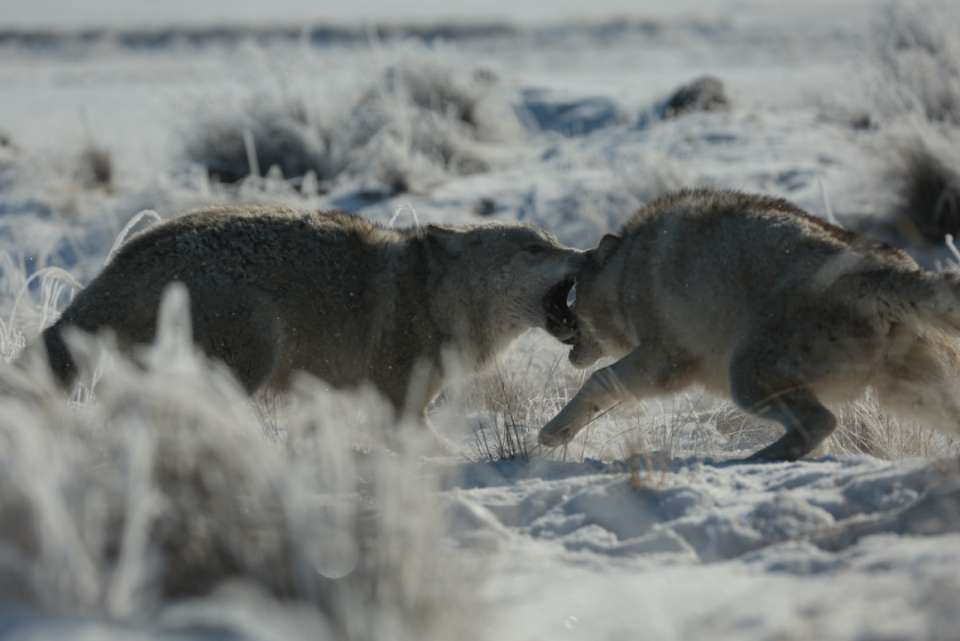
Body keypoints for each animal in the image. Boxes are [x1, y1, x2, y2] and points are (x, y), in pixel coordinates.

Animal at [41, 205, 580, 424]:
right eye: (536, 249)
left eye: (554, 242)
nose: (588, 254)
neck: (434, 300)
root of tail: (127, 258)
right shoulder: (401, 407)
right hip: (251, 358)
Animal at [536, 186, 960, 460]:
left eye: (574, 295)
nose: (565, 334)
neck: (626, 272)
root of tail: (887, 269)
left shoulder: (664, 363)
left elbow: (598, 381)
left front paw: (552, 433)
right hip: (906, 395)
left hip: (746, 379)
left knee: (820, 424)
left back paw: (748, 462)